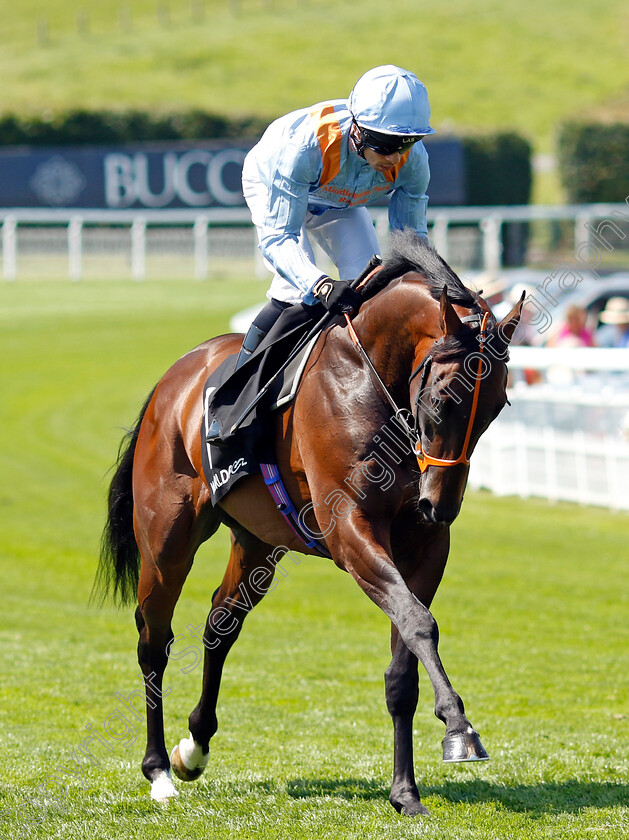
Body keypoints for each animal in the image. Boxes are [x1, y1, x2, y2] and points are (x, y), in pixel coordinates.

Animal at [97, 230, 520, 812]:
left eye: (496, 406)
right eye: (440, 399)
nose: (441, 504)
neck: (371, 381)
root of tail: (173, 379)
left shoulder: (424, 547)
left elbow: (404, 665)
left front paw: (405, 791)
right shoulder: (351, 532)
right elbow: (419, 624)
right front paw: (459, 728)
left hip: (257, 543)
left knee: (219, 625)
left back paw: (194, 747)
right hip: (166, 543)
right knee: (153, 640)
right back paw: (159, 769)